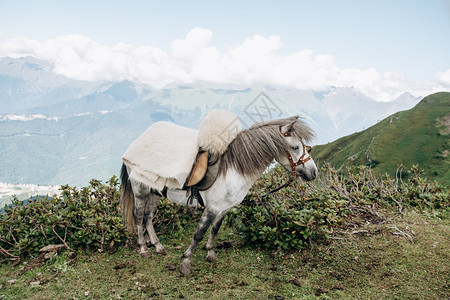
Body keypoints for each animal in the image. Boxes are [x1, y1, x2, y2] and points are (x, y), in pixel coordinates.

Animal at [119, 115, 316, 274]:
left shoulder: (225, 208)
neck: (234, 168)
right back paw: (144, 249)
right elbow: (199, 233)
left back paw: (158, 247)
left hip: (155, 192)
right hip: (140, 190)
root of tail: (135, 143)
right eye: (295, 147)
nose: (313, 172)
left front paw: (210, 253)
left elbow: (214, 229)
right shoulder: (212, 208)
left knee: (148, 217)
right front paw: (186, 262)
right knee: (138, 217)